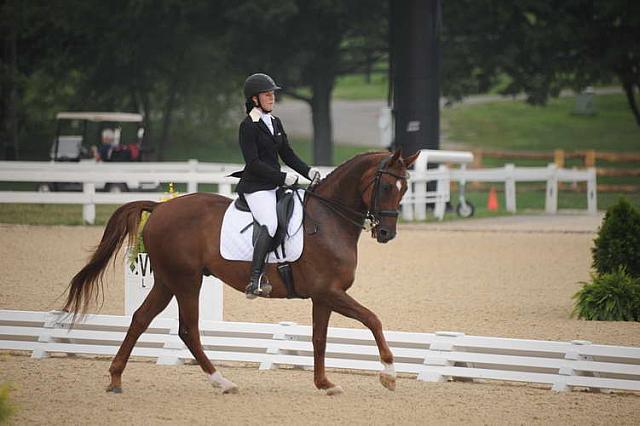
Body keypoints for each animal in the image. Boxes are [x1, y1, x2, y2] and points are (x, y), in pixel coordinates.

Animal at [63, 150, 416, 396]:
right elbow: (372, 319)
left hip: (166, 281)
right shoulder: (329, 292)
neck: (328, 218)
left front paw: (325, 384)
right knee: (188, 330)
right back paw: (222, 382)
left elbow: (319, 338)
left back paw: (115, 378)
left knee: (140, 319)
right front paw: (389, 374)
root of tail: (161, 207)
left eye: (405, 188)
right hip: (186, 281)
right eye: (386, 185)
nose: (386, 233)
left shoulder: (324, 296)